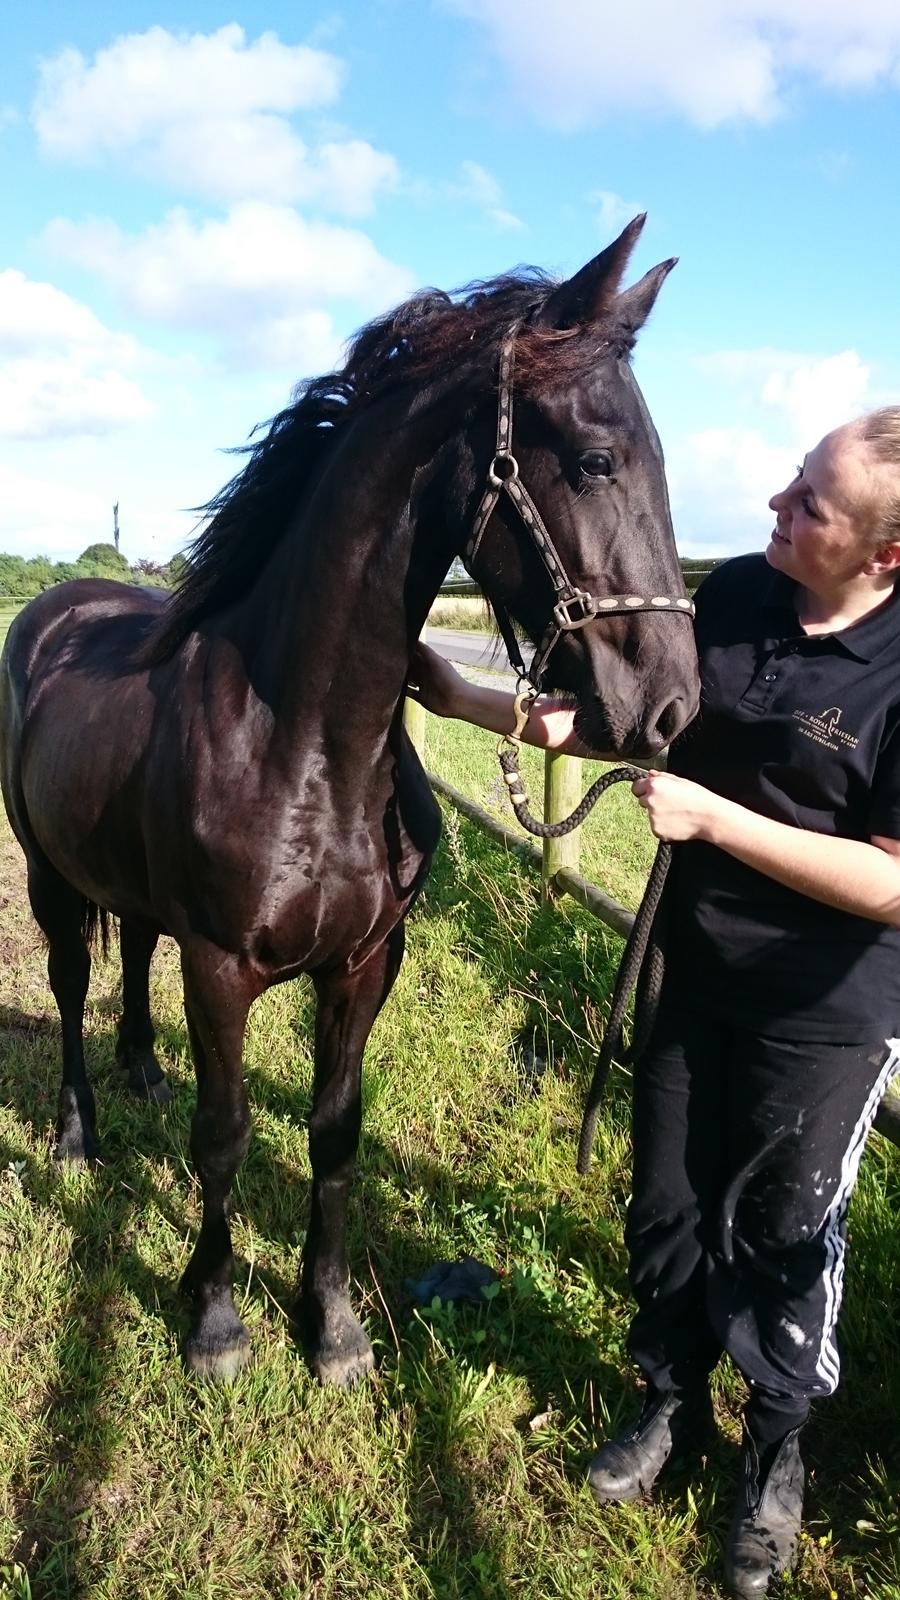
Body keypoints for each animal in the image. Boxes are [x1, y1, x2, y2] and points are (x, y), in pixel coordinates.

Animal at [0, 219, 695, 1382]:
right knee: (68, 984)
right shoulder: (220, 967)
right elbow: (225, 1134)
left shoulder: (368, 963)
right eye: (597, 461)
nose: (672, 704)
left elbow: (334, 1132)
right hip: (50, 877)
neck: (307, 746)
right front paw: (215, 1320)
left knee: (130, 955)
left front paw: (328, 1326)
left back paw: (142, 1071)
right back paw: (75, 1138)